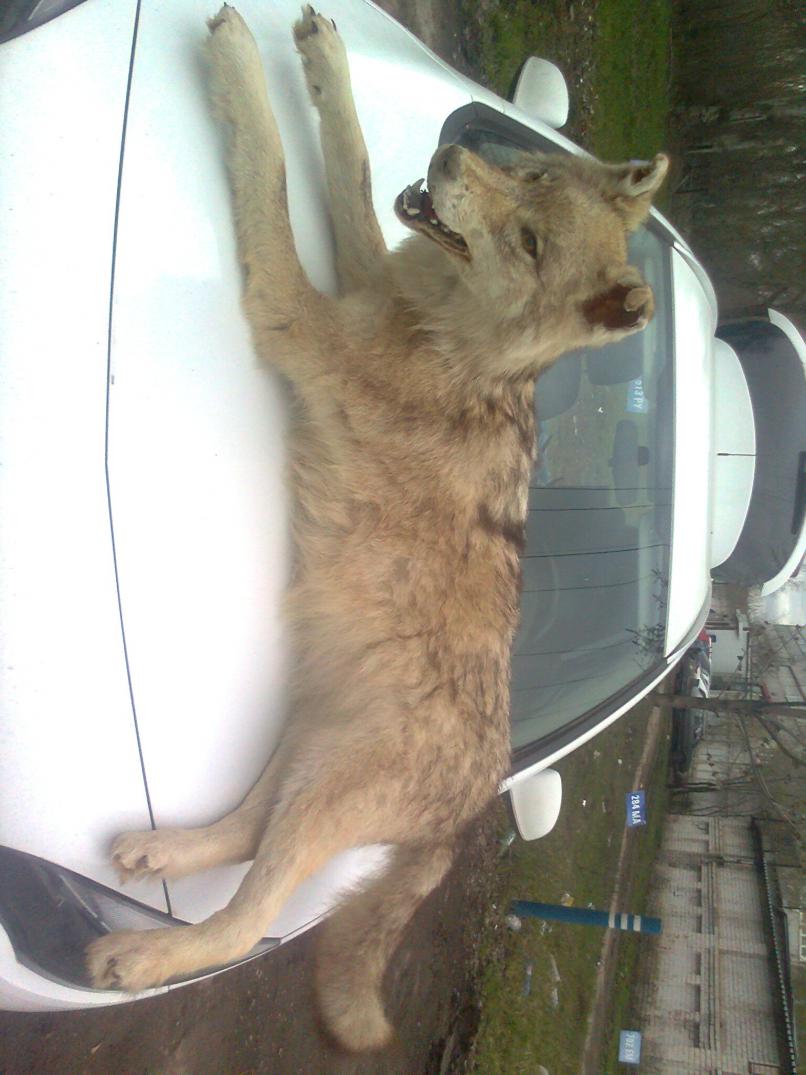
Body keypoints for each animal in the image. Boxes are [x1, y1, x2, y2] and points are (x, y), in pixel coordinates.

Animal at [87, 3, 668, 1052]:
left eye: (529, 239)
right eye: (533, 178)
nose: (449, 154)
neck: (450, 332)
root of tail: (479, 800)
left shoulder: (292, 310)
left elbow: (272, 172)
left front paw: (238, 60)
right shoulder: (364, 260)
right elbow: (349, 167)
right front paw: (320, 58)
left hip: (320, 791)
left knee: (242, 924)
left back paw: (136, 957)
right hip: (304, 753)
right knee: (241, 833)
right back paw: (159, 848)